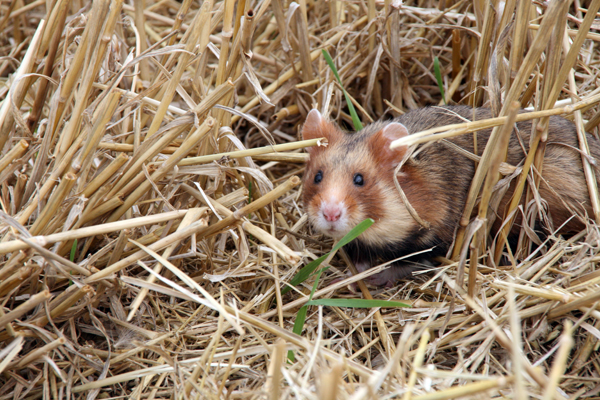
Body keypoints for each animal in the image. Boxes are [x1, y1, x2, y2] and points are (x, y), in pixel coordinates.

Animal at [302, 103, 596, 284]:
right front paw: (348, 278)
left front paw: (376, 277)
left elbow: (410, 263)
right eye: (317, 176)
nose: (330, 214)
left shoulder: (439, 237)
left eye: (360, 180)